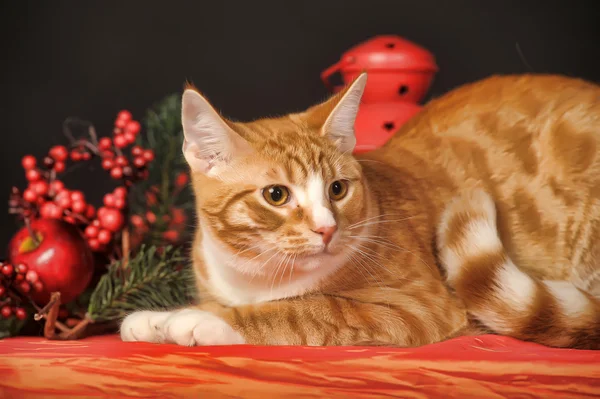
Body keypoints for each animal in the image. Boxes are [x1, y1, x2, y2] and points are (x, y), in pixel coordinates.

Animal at [120, 73, 600, 348]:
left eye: (337, 189)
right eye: (276, 195)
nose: (327, 230)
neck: (257, 276)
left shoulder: (419, 306)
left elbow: (305, 310)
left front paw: (202, 320)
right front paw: (157, 319)